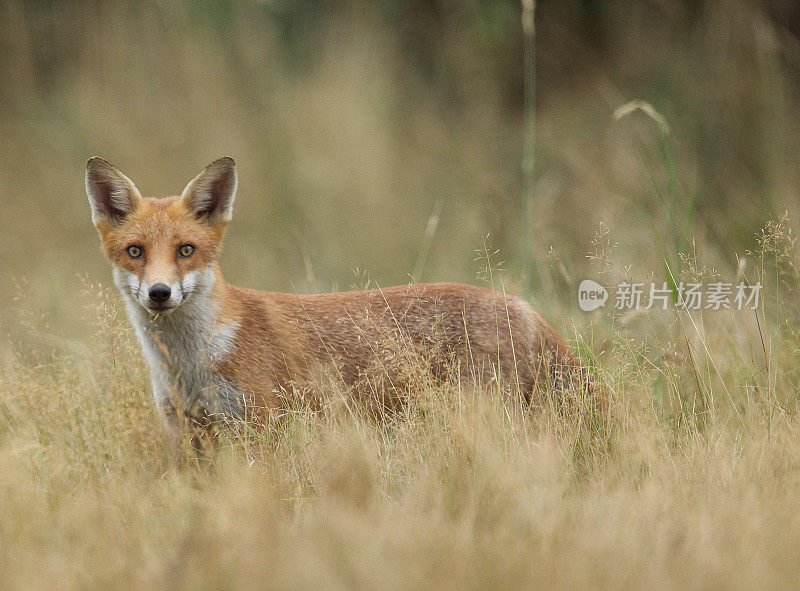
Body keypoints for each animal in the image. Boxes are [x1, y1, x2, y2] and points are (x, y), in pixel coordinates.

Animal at [87, 156, 600, 458]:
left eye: (186, 250)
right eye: (135, 252)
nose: (159, 293)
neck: (189, 364)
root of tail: (520, 304)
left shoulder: (260, 431)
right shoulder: (186, 437)